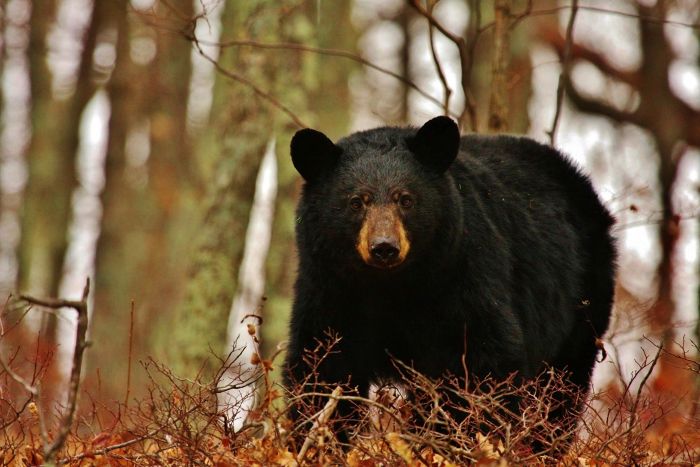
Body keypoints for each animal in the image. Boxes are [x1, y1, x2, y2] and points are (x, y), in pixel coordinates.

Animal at [284, 116, 616, 441]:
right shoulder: (330, 287)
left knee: (560, 392)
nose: (384, 247)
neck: (391, 286)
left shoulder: (462, 277)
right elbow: (322, 367)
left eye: (406, 199)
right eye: (356, 201)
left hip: (582, 303)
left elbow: (481, 364)